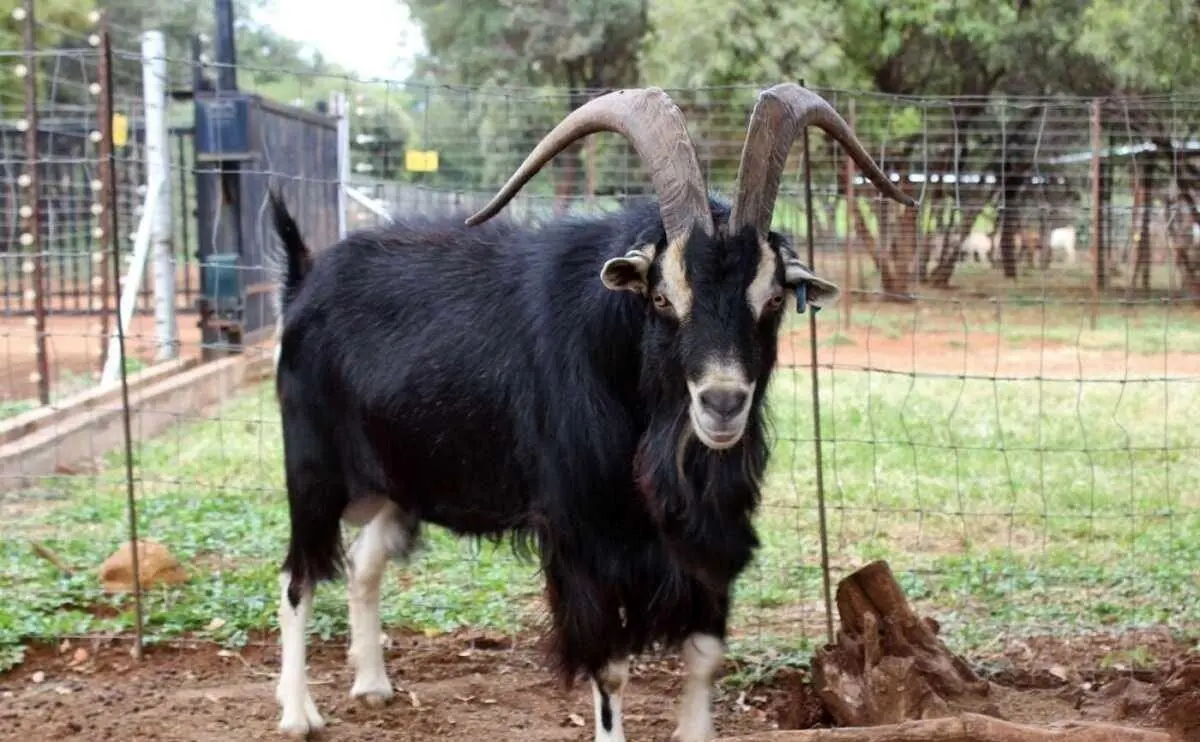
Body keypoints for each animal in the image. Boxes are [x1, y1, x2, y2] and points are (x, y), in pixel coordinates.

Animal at [270, 84, 907, 734]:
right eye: (661, 297)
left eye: (774, 298)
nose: (723, 403)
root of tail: (304, 280)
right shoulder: (585, 541)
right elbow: (611, 670)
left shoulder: (705, 536)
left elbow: (705, 654)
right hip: (314, 471)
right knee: (296, 579)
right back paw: (297, 713)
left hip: (399, 483)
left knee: (363, 563)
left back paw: (373, 684)